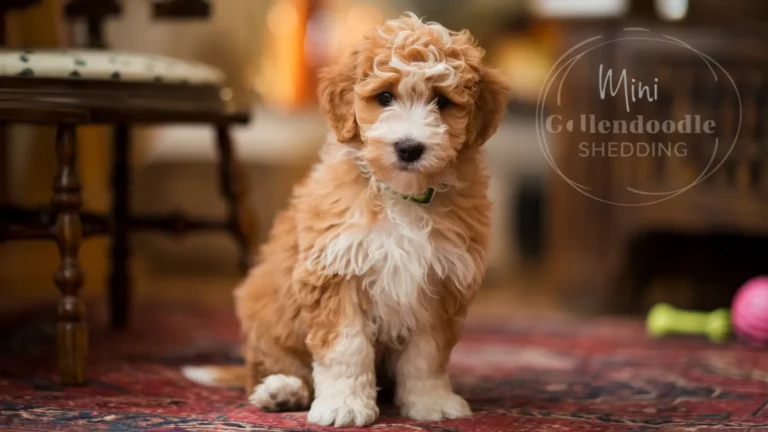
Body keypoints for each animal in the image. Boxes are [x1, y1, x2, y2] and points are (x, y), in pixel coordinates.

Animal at [184, 11, 510, 426]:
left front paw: (430, 401)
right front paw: (345, 405)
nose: (409, 148)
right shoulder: (335, 272)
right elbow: (346, 349)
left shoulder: (440, 281)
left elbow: (428, 353)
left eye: (442, 101)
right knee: (272, 367)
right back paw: (282, 390)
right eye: (385, 97)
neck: (400, 194)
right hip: (266, 311)